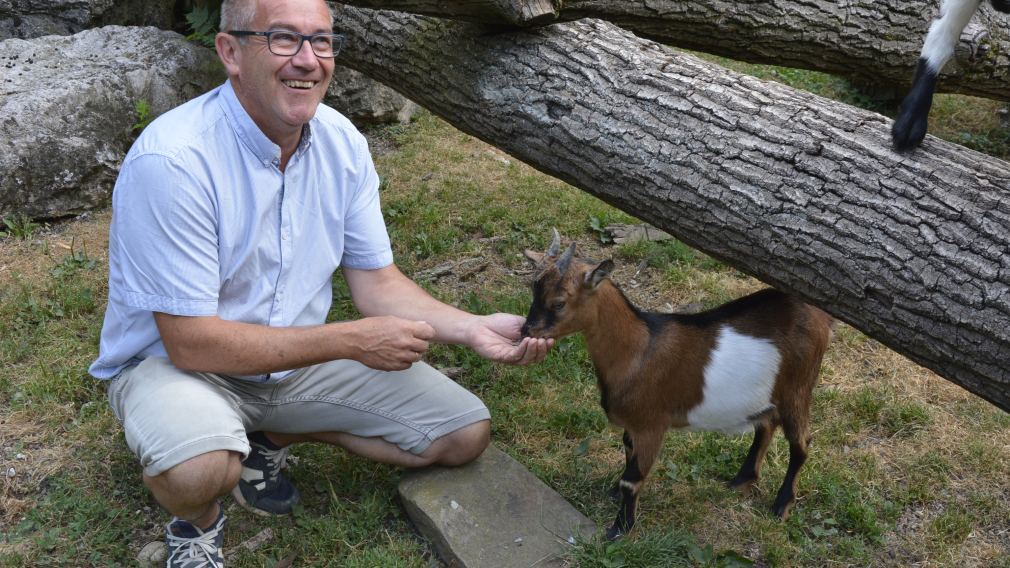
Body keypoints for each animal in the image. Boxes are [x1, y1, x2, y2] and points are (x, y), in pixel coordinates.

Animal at [517, 231, 832, 537]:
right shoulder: (633, 426)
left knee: (800, 443)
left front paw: (619, 530)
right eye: (533, 291)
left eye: (559, 302)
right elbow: (628, 456)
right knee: (766, 425)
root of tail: (819, 315)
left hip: (799, 386)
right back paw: (741, 480)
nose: (525, 332)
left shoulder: (651, 425)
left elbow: (632, 480)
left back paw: (781, 505)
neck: (638, 350)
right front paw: (615, 497)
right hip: (768, 393)